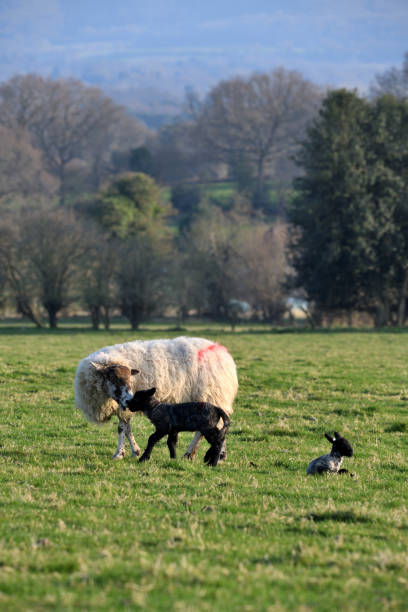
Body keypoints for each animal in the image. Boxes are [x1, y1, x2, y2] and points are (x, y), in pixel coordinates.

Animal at [75, 338, 237, 462]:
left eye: (129, 379)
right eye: (113, 378)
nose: (129, 400)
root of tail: (222, 352)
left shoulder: (123, 408)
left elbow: (121, 429)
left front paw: (119, 454)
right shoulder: (123, 407)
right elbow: (127, 429)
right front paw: (135, 451)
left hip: (213, 396)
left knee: (213, 429)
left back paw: (213, 455)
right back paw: (198, 454)